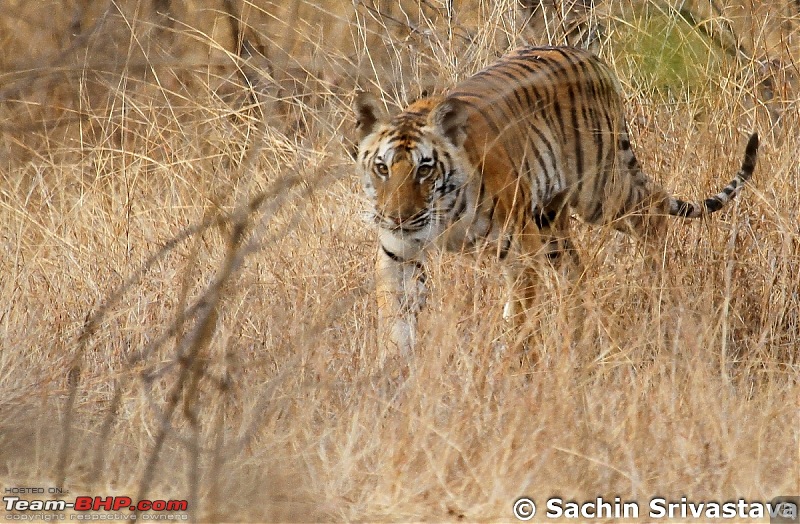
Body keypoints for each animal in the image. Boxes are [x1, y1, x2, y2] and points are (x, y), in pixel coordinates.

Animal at [354, 46, 760, 356]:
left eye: (424, 169)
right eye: (382, 167)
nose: (397, 218)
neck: (443, 216)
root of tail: (590, 57)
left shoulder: (518, 250)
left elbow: (519, 316)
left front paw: (514, 366)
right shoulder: (398, 254)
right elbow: (394, 317)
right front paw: (393, 371)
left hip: (598, 191)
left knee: (655, 206)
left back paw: (656, 288)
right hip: (551, 221)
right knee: (577, 271)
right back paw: (578, 324)